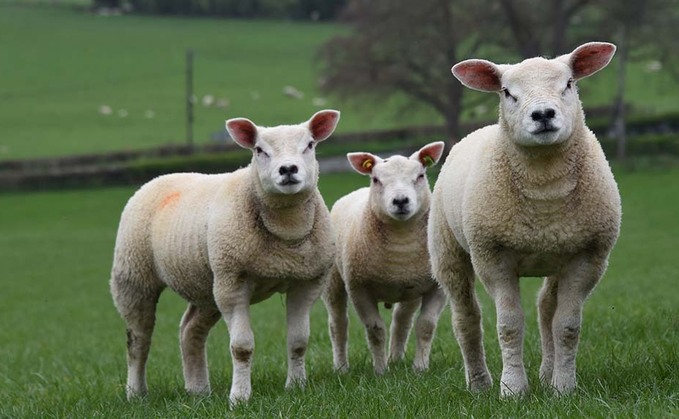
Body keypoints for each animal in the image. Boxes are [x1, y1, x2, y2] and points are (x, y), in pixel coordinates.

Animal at [113, 110, 346, 406]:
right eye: (259, 150)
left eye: (310, 145)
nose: (288, 170)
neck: (286, 230)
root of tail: (159, 177)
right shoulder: (234, 283)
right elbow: (242, 347)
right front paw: (240, 398)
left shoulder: (306, 283)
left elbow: (298, 341)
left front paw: (296, 387)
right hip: (135, 277)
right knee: (137, 339)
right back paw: (136, 393)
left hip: (208, 285)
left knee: (190, 330)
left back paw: (198, 390)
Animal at [322, 143, 448, 376]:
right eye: (376, 179)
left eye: (420, 175)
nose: (400, 201)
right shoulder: (359, 288)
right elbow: (375, 330)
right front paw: (380, 372)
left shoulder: (437, 286)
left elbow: (425, 326)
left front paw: (420, 369)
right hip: (333, 281)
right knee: (338, 324)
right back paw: (342, 368)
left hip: (411, 287)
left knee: (401, 320)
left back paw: (396, 359)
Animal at [430, 41, 620, 398]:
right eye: (507, 92)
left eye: (569, 84)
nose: (543, 114)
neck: (545, 190)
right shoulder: (493, 257)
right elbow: (509, 326)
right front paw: (512, 390)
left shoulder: (587, 257)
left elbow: (566, 326)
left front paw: (563, 389)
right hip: (447, 250)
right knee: (466, 318)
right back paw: (479, 383)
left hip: (557, 255)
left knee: (546, 309)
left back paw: (547, 375)